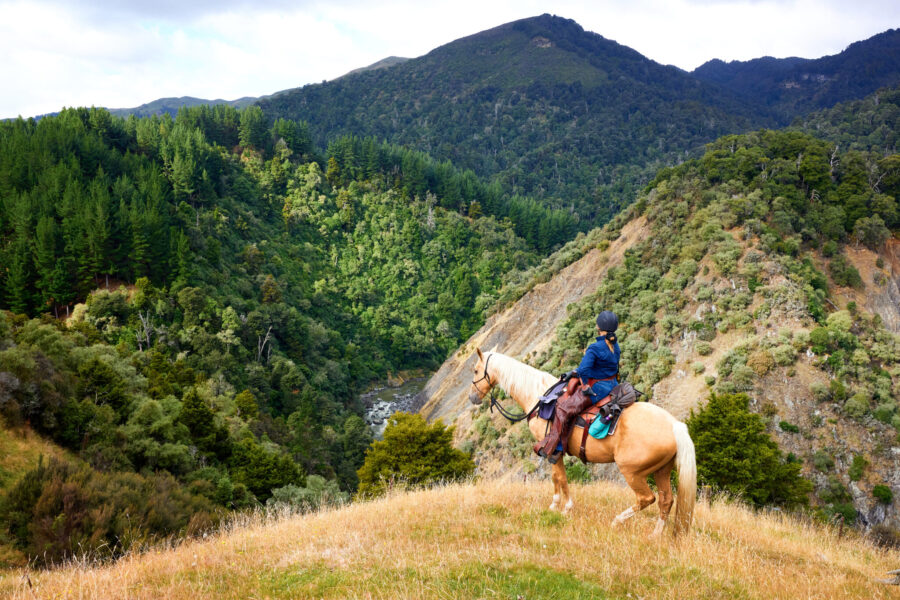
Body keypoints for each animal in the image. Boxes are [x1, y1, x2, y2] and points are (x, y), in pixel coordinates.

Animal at [468, 348, 696, 537]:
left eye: (476, 370)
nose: (472, 398)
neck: (539, 397)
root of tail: (674, 425)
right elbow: (556, 477)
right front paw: (556, 505)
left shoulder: (552, 448)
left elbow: (560, 477)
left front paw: (563, 507)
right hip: (662, 470)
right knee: (666, 501)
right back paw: (655, 535)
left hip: (632, 472)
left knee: (647, 499)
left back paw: (617, 521)